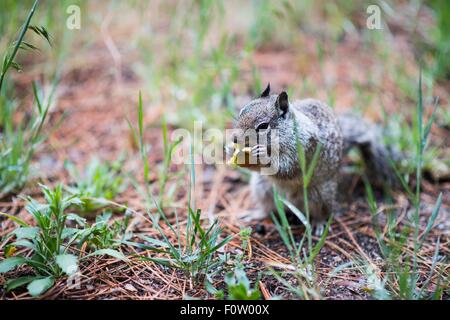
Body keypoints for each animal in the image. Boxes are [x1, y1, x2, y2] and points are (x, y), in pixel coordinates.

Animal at [227, 82, 400, 228]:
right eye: (242, 112)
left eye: (263, 126)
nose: (234, 138)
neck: (287, 131)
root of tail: (291, 203)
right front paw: (229, 150)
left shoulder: (304, 148)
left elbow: (287, 168)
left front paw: (262, 154)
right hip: (262, 188)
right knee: (268, 208)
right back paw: (256, 214)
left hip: (320, 195)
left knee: (321, 211)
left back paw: (319, 223)